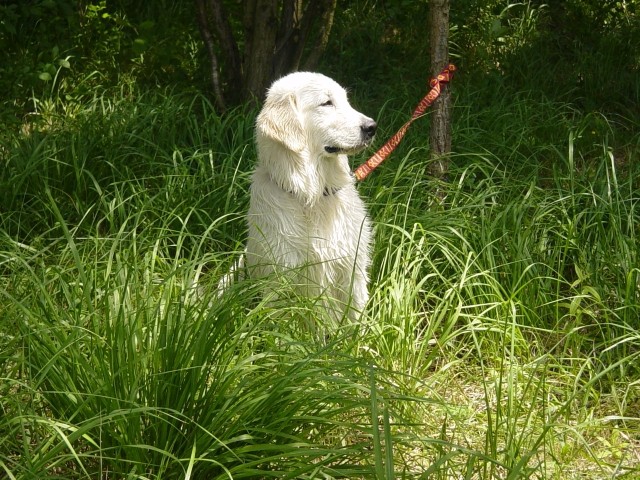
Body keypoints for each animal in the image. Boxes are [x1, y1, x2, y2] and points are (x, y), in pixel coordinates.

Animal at [244, 72, 376, 318]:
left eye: (346, 100)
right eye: (326, 103)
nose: (372, 127)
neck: (312, 197)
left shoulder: (351, 271)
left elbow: (356, 318)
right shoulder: (280, 277)